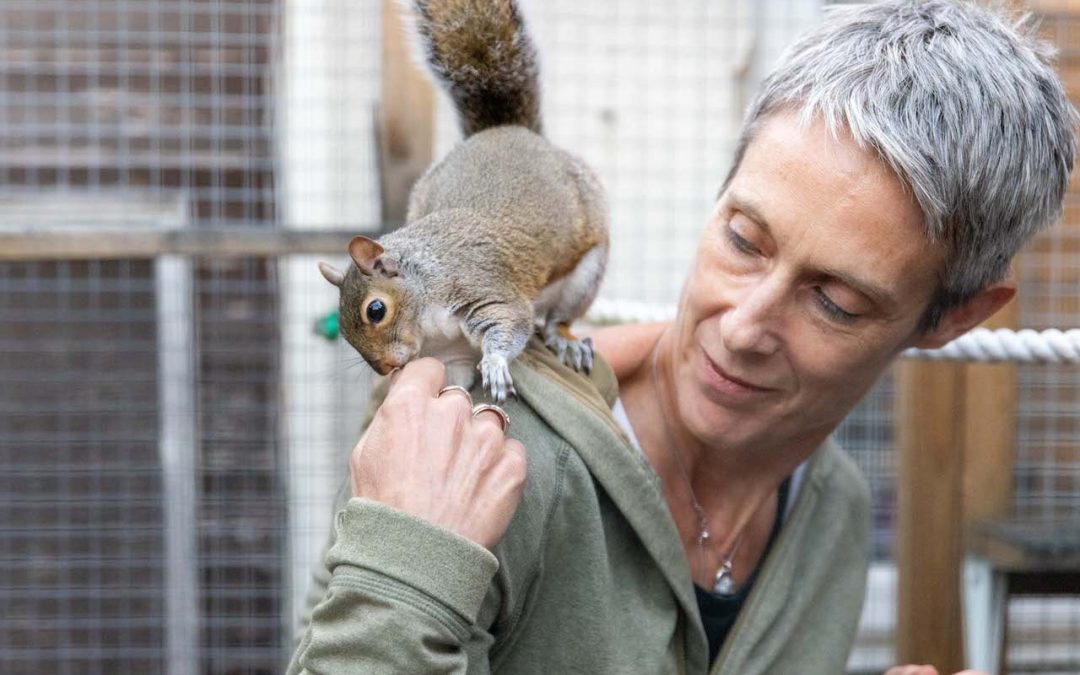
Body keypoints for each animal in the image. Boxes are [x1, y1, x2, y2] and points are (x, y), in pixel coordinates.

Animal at [319, 0, 608, 402]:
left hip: (586, 272)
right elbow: (454, 380)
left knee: (560, 316)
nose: (386, 368)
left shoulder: (484, 289)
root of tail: (506, 130)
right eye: (344, 331)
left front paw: (495, 365)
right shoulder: (449, 354)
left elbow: (510, 324)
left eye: (375, 310)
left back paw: (565, 338)